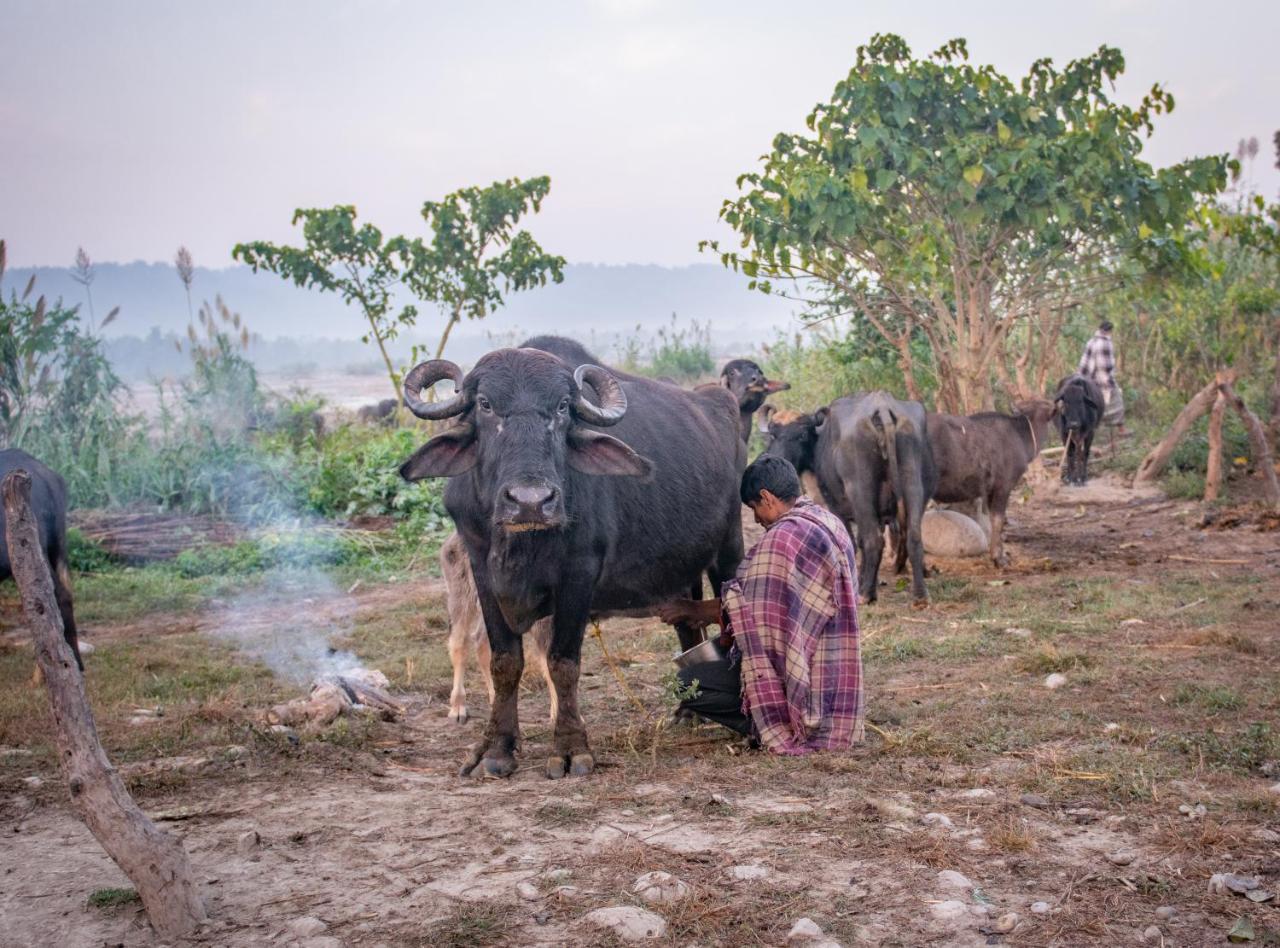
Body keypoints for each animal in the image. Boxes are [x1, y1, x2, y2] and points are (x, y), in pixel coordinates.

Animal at [396, 335, 742, 777]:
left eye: (562, 407)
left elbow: (563, 663)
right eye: (485, 404)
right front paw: (496, 748)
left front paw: (570, 749)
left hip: (729, 548)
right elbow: (504, 660)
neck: (521, 545)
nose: (531, 501)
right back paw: (686, 710)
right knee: (687, 628)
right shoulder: (481, 569)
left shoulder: (579, 574)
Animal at [762, 391, 936, 606]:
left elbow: (851, 543)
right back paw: (920, 595)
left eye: (801, 435)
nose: (779, 458)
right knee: (913, 536)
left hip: (860, 490)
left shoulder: (836, 505)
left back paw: (865, 594)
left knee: (874, 540)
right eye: (772, 434)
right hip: (914, 486)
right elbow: (860, 541)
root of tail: (882, 406)